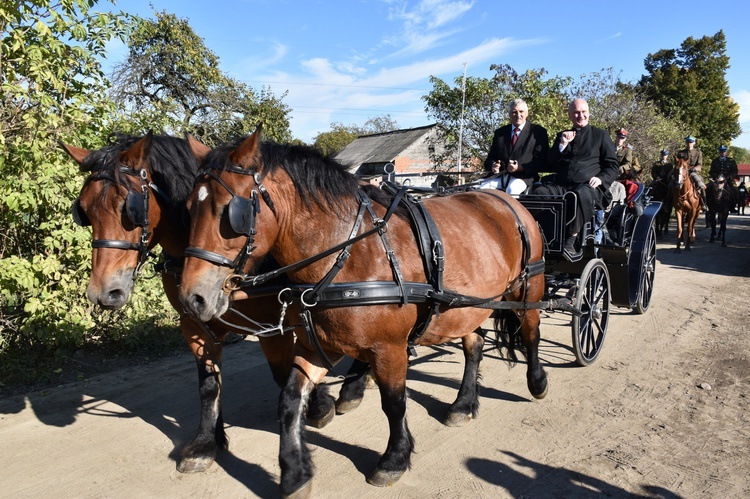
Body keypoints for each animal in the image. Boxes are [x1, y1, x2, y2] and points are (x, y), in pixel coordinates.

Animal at [62, 133, 340, 476]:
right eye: (85, 210)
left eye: (129, 208)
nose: (103, 292)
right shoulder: (193, 322)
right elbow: (209, 384)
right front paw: (208, 441)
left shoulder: (274, 325)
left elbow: (287, 369)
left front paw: (319, 403)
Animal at [179, 128, 548, 496]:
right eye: (188, 208)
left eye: (230, 212)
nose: (192, 297)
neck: (348, 253)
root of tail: (505, 199)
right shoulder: (319, 344)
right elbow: (290, 399)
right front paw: (295, 471)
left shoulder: (389, 349)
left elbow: (394, 403)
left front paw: (394, 459)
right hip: (463, 306)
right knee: (474, 344)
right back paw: (464, 404)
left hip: (527, 289)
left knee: (531, 333)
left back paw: (537, 382)